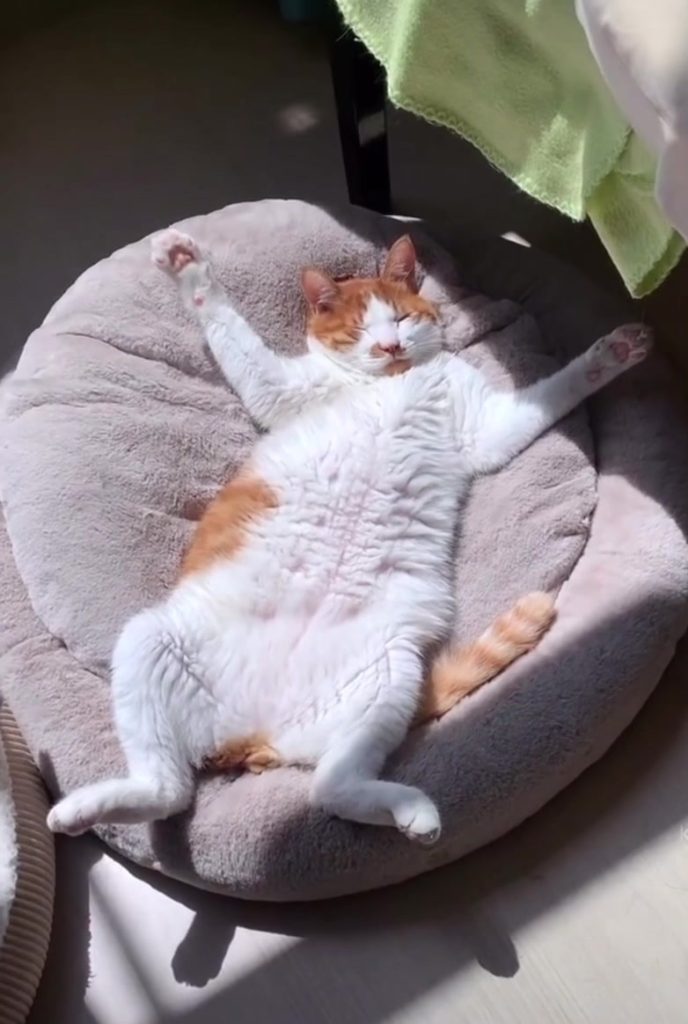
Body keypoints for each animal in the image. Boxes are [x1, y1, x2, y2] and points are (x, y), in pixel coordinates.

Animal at [46, 230, 650, 843]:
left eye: (401, 317)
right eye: (360, 328)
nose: (389, 347)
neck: (391, 381)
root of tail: (256, 731)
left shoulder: (483, 431)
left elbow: (550, 392)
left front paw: (612, 355)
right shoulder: (280, 391)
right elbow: (226, 324)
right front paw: (186, 266)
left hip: (387, 675)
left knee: (321, 789)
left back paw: (413, 813)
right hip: (150, 641)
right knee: (171, 788)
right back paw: (80, 810)